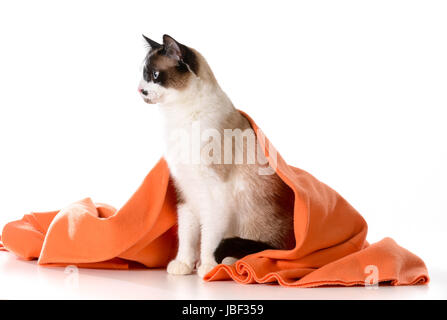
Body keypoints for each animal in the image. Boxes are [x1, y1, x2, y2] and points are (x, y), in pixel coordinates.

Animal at [138, 33, 296, 276]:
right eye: (143, 75)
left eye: (155, 75)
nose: (140, 90)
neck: (178, 118)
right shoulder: (186, 191)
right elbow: (187, 235)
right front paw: (184, 265)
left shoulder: (214, 194)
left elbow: (209, 239)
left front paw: (208, 268)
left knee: (266, 251)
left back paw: (229, 262)